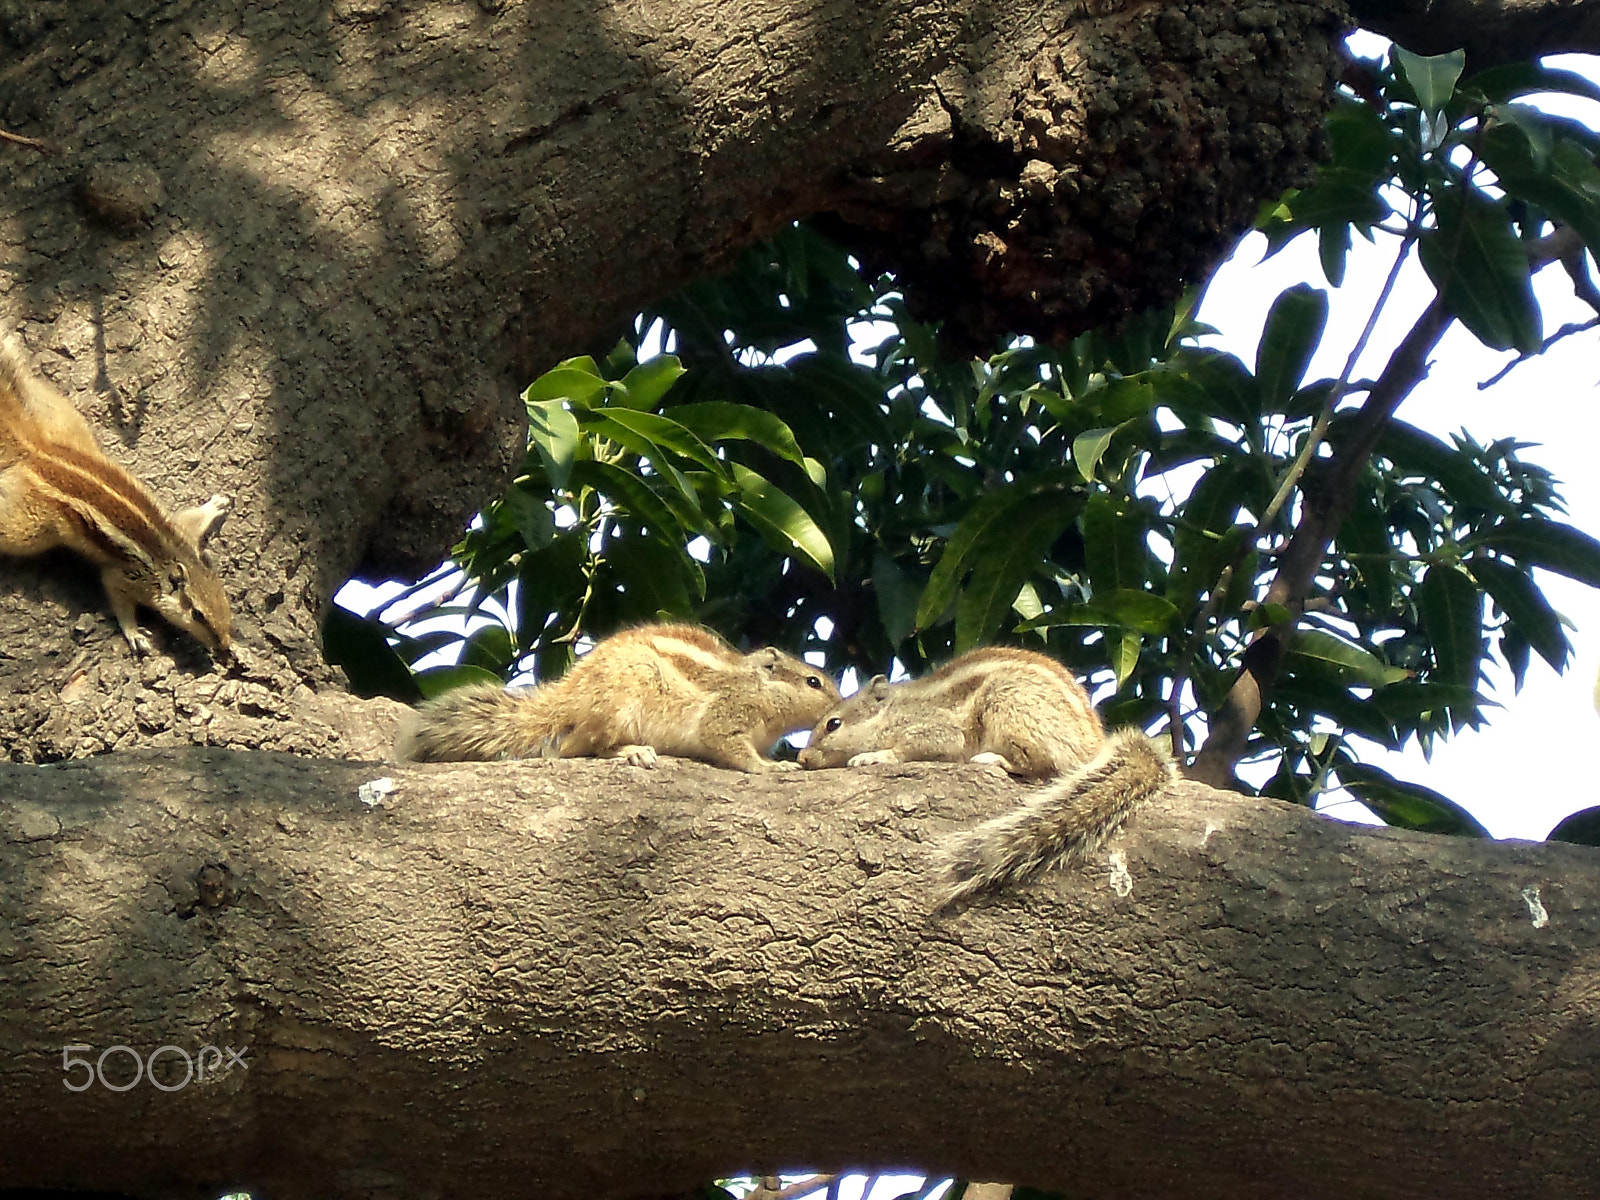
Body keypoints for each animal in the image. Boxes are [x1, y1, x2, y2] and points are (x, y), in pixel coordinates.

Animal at [0, 329, 233, 659]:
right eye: (197, 614)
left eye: (226, 602)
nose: (224, 645)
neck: (171, 555)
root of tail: (37, 452)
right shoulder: (127, 578)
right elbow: (118, 600)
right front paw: (134, 633)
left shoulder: (181, 530)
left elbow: (192, 517)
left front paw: (216, 505)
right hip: (26, 530)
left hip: (63, 419)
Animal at [395, 624, 844, 774]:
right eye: (813, 683)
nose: (838, 708)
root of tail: (569, 695)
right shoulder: (726, 716)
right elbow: (732, 749)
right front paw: (772, 768)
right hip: (619, 707)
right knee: (580, 750)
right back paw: (633, 752)